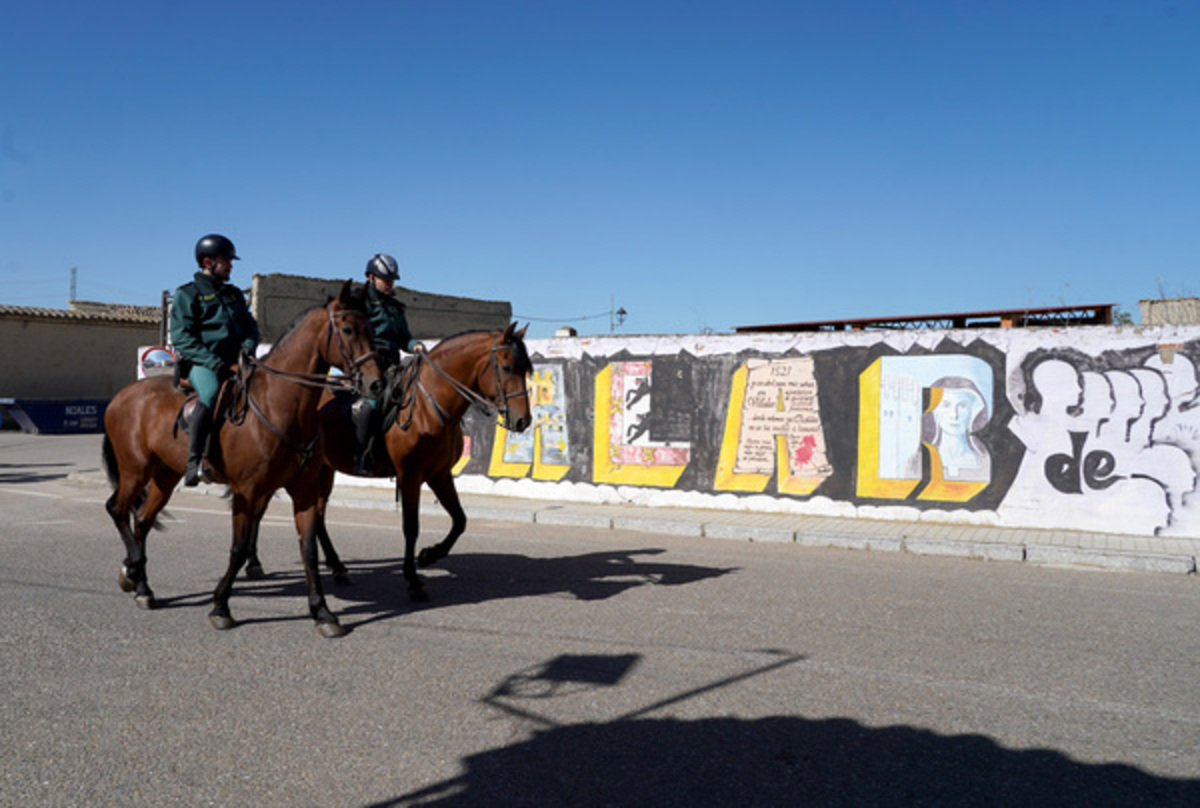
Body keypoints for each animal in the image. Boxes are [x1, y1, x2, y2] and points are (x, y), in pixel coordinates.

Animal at [105, 282, 384, 638]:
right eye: (348, 329)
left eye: (372, 329)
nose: (376, 383)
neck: (279, 404)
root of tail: (122, 396)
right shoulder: (246, 491)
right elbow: (238, 549)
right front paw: (221, 606)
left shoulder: (304, 489)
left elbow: (308, 548)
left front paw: (322, 612)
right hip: (135, 470)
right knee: (117, 509)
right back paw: (133, 569)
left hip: (165, 475)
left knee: (141, 519)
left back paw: (141, 584)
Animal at [270, 324, 532, 602]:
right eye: (506, 367)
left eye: (526, 369)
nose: (523, 420)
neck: (428, 405)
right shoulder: (410, 476)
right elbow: (411, 527)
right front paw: (413, 580)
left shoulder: (440, 474)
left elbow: (460, 520)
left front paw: (429, 555)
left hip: (324, 470)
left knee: (318, 517)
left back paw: (339, 568)